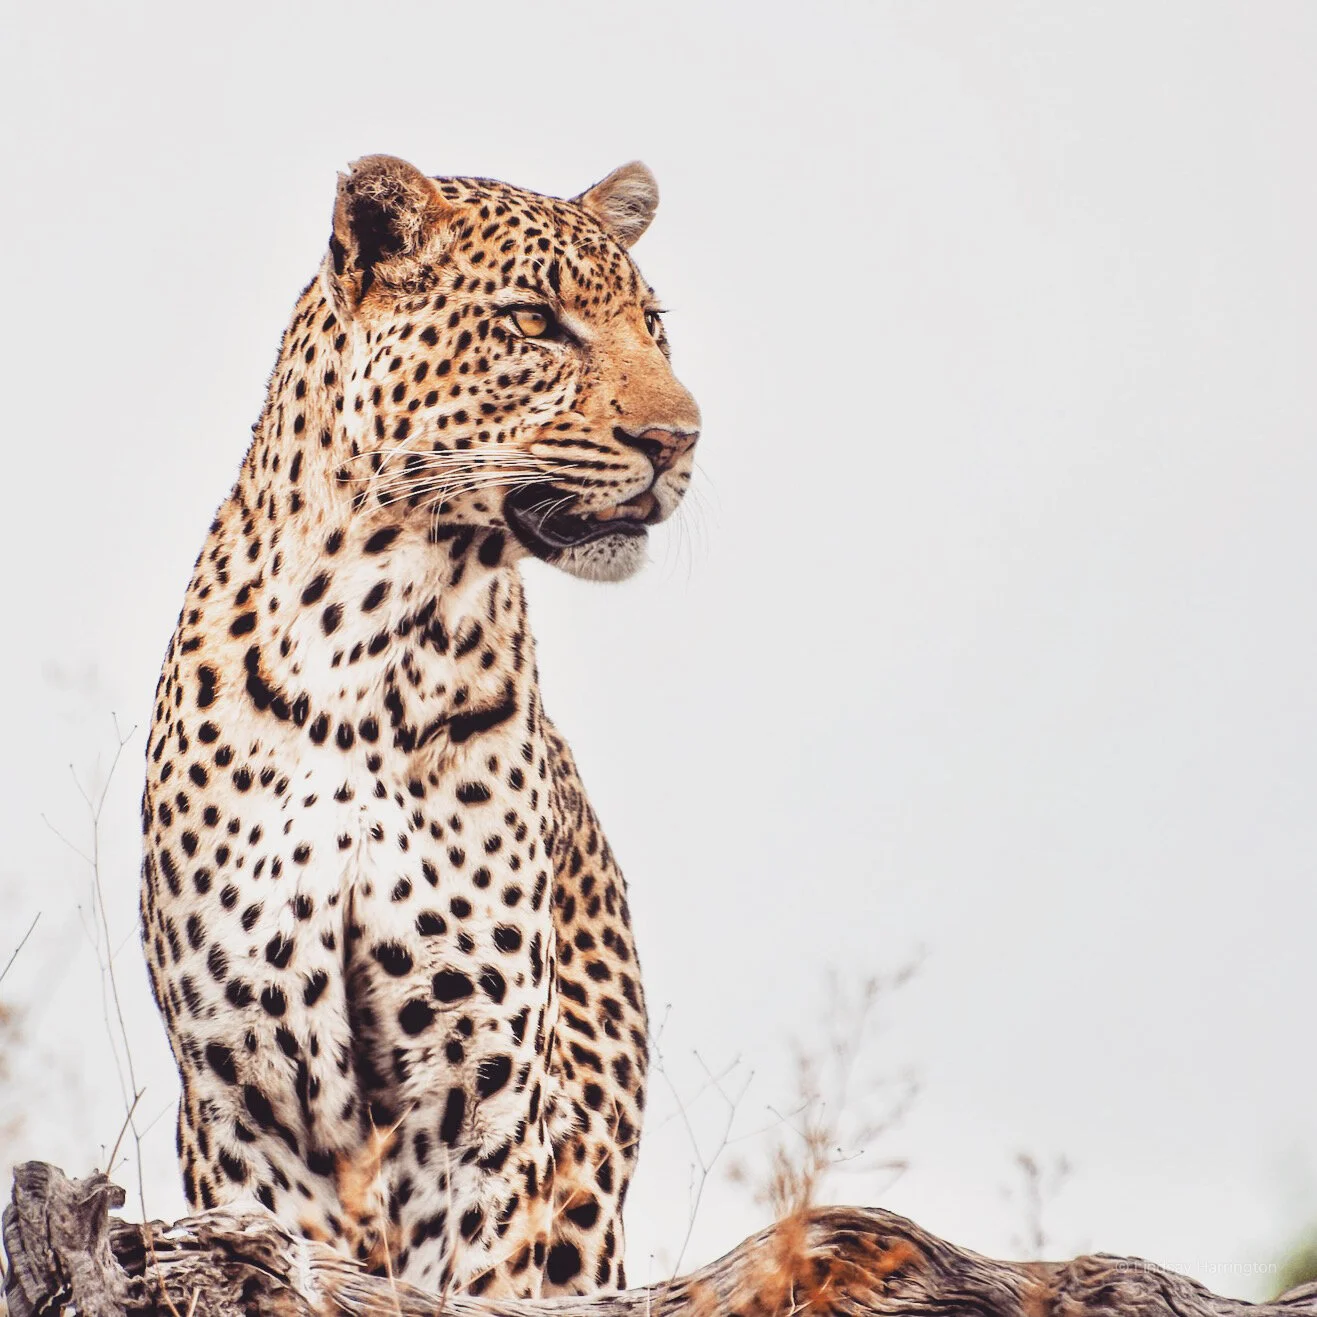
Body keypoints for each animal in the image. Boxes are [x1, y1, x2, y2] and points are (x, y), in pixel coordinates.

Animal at [138, 153, 700, 1299]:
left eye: (653, 325)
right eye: (533, 321)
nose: (680, 439)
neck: (375, 645)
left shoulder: (478, 1087)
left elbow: (473, 1280)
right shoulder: (243, 1088)